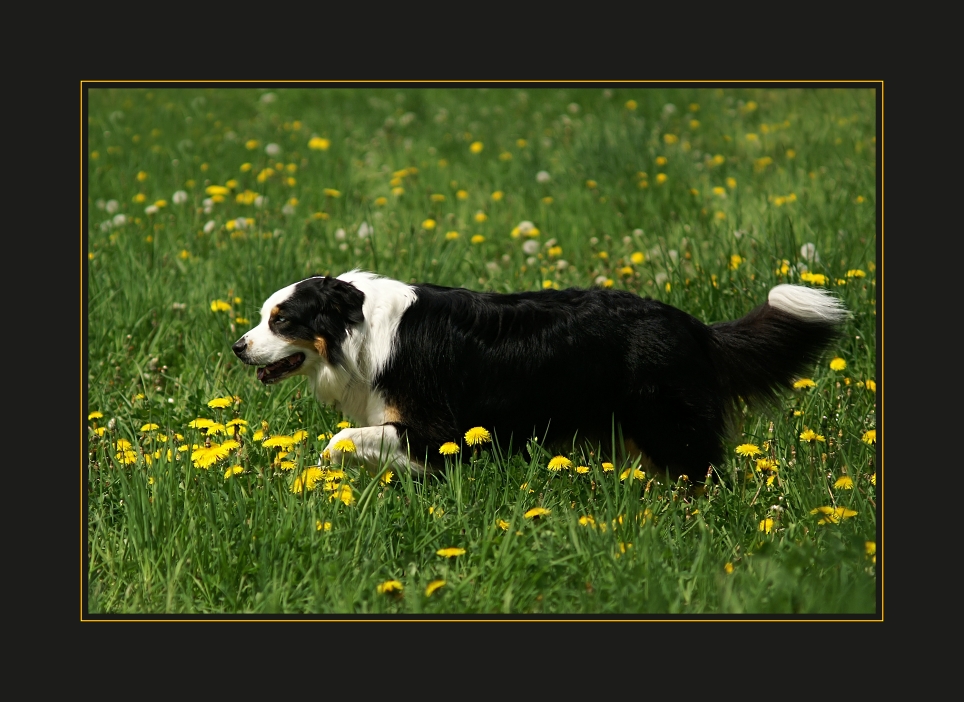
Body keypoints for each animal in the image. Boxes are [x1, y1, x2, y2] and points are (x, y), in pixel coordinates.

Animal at [235, 272, 852, 482]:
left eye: (281, 320)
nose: (237, 347)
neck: (359, 329)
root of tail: (693, 326)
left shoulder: (438, 428)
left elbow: (338, 440)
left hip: (668, 424)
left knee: (700, 476)